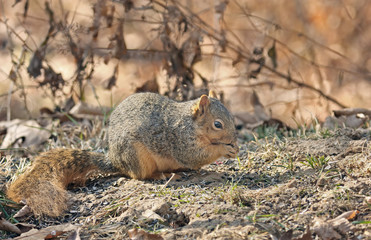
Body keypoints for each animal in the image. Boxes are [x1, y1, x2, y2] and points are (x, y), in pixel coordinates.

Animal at [6, 91, 238, 217]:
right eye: (218, 124)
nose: (234, 139)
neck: (191, 124)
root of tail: (115, 161)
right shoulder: (181, 139)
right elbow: (195, 155)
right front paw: (224, 149)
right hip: (137, 156)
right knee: (138, 175)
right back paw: (160, 175)